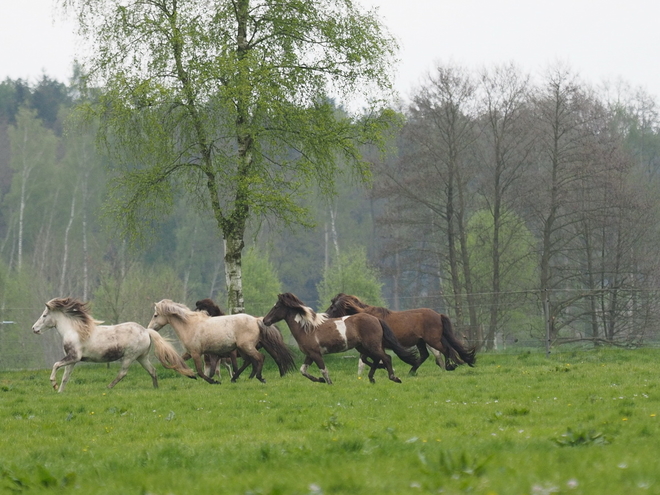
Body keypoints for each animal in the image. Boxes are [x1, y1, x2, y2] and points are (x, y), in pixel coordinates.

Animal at [32, 296, 195, 394]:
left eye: (44, 315)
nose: (34, 329)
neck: (74, 331)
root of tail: (146, 331)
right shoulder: (72, 360)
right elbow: (66, 376)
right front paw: (60, 391)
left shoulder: (73, 357)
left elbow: (55, 365)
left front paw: (53, 384)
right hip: (142, 357)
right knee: (153, 371)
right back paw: (156, 389)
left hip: (129, 357)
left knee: (123, 373)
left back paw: (108, 387)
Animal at [262, 292, 418, 386]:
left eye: (276, 307)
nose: (265, 320)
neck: (307, 328)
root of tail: (375, 319)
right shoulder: (310, 354)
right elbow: (303, 370)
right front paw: (319, 380)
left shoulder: (316, 354)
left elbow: (323, 370)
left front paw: (328, 383)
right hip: (363, 347)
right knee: (376, 359)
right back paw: (371, 378)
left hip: (372, 346)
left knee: (386, 358)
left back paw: (394, 378)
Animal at [324, 294, 474, 372]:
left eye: (333, 307)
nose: (324, 317)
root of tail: (438, 315)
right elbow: (365, 359)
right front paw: (382, 367)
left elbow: (367, 359)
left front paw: (382, 367)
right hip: (421, 341)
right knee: (426, 355)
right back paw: (412, 371)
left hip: (433, 340)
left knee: (445, 350)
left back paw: (450, 367)